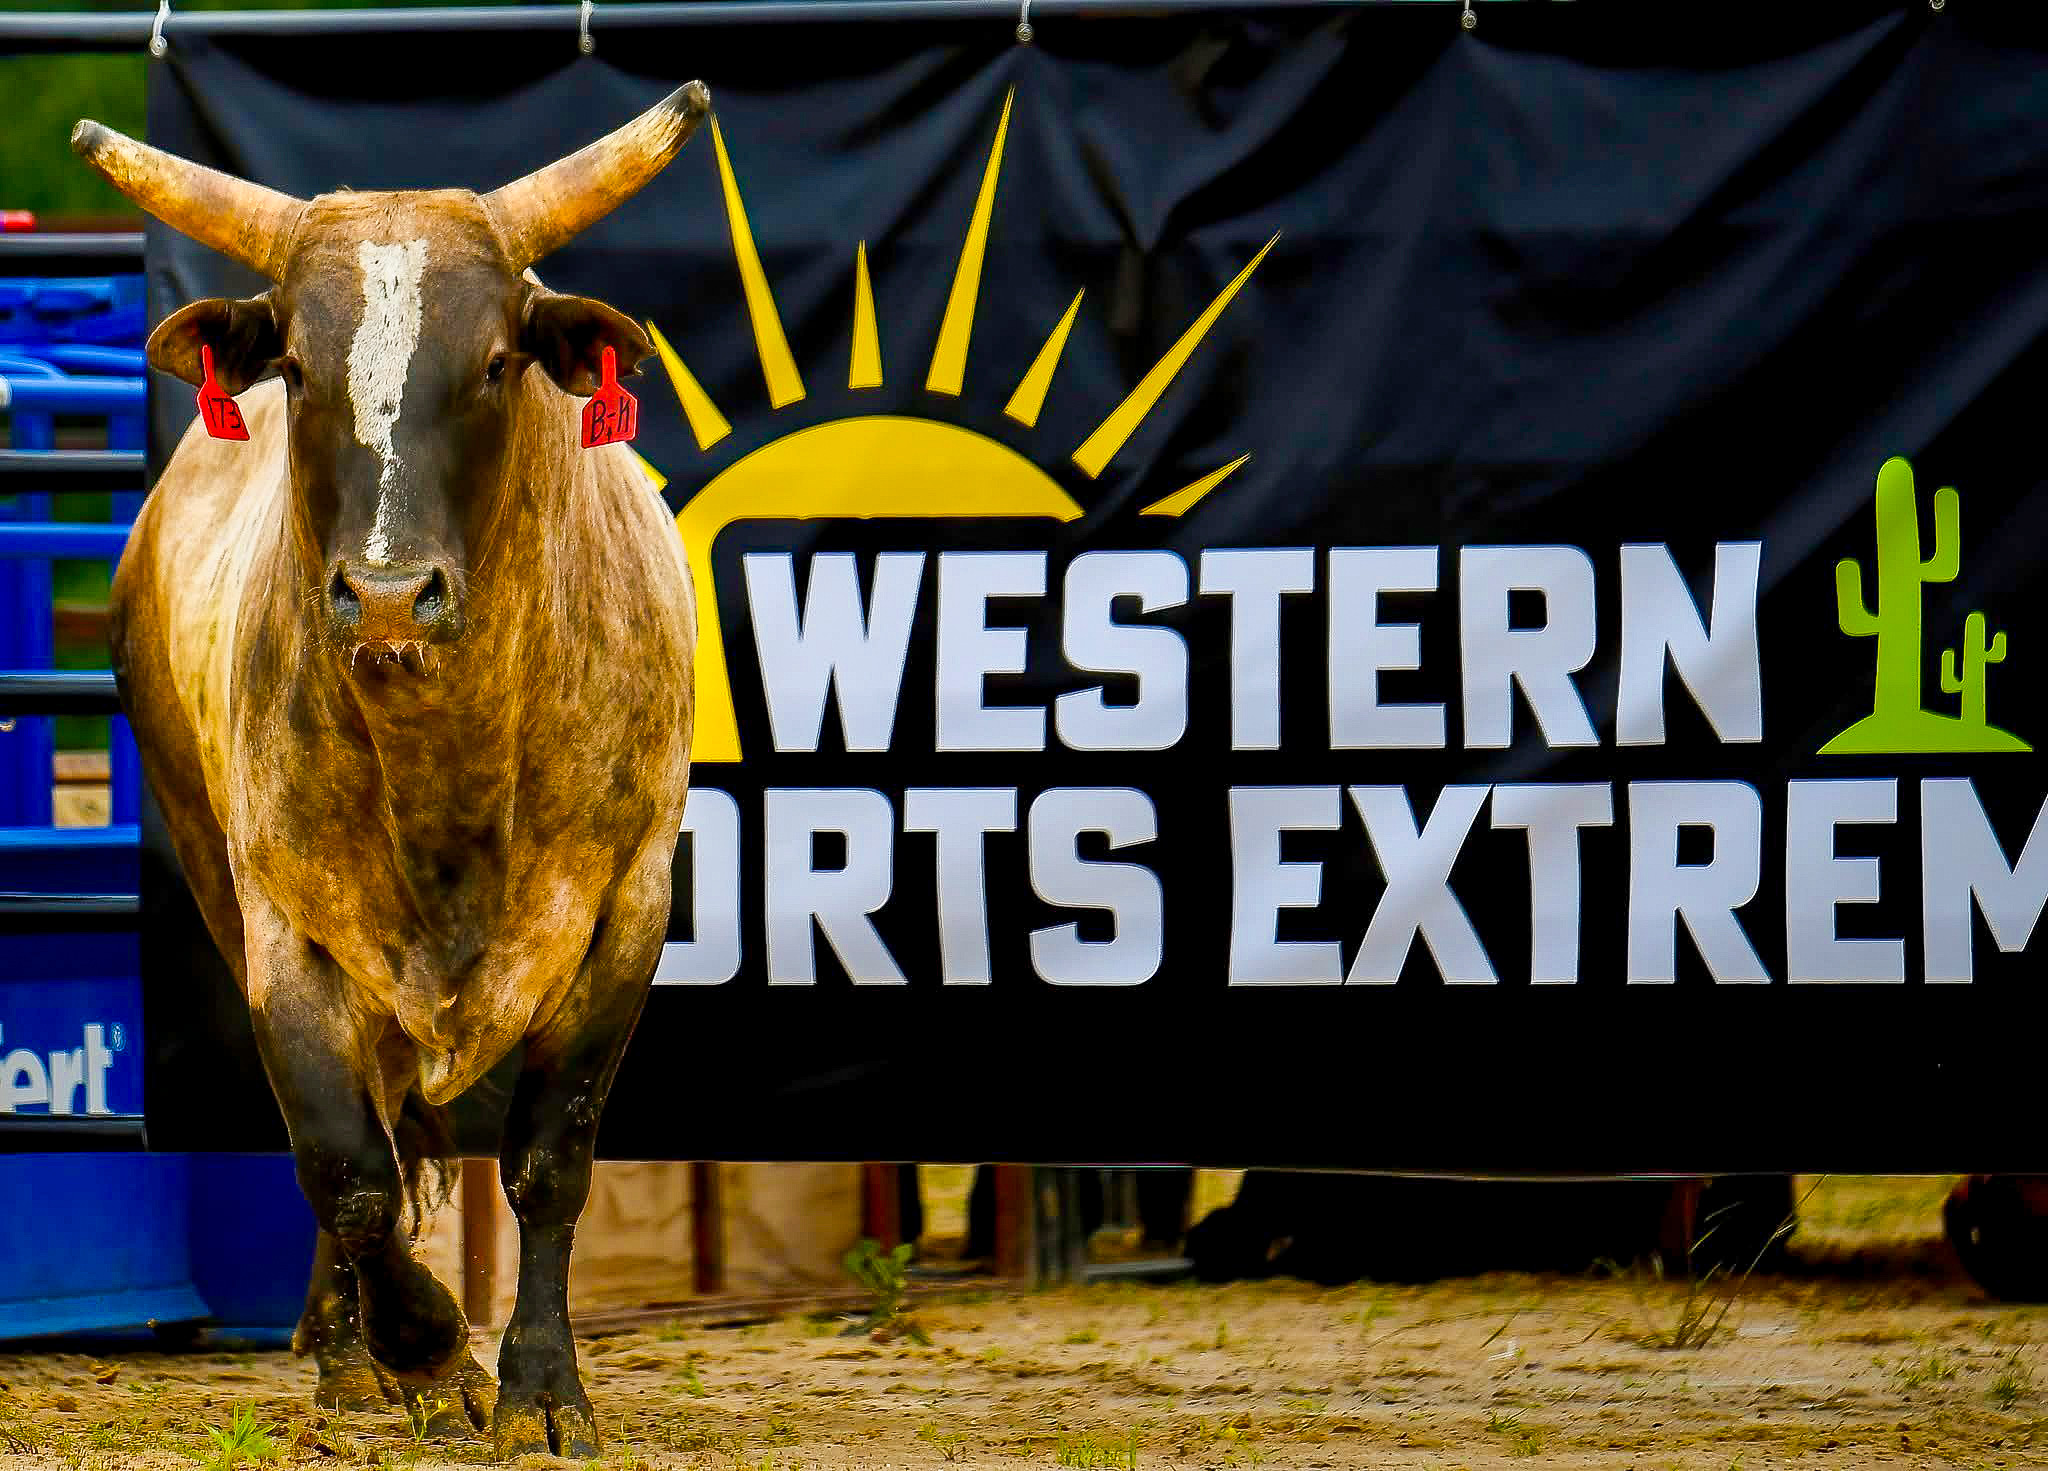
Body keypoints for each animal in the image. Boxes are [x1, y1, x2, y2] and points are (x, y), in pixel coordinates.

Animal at [72, 80, 708, 1458]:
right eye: (301, 370)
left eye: (495, 364)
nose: (382, 596)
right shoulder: (284, 925)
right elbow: (347, 1163)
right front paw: (420, 1347)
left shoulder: (626, 910)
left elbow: (546, 1159)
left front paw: (540, 1388)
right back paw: (347, 1352)